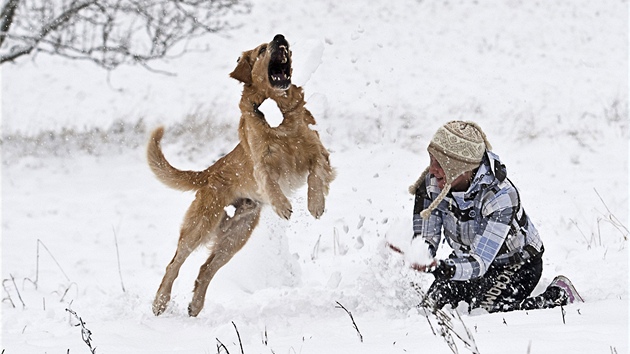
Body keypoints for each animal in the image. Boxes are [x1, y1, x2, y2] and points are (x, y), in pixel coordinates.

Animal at [149, 34, 338, 316]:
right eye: (262, 50)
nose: (279, 37)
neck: (280, 119)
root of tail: (209, 172)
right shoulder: (261, 162)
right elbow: (269, 180)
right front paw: (282, 205)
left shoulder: (318, 152)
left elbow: (316, 175)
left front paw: (315, 204)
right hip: (202, 225)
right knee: (174, 263)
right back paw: (160, 302)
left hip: (236, 235)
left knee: (205, 269)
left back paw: (195, 306)